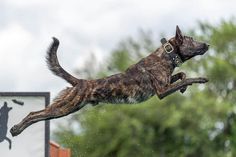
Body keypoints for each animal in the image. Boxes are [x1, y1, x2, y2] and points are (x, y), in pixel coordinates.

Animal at [9, 25, 208, 136]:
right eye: (192, 40)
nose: (207, 44)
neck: (166, 56)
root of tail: (80, 82)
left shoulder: (166, 84)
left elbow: (182, 76)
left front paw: (183, 87)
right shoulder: (162, 91)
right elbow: (187, 78)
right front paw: (200, 79)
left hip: (65, 108)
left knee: (39, 115)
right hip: (64, 107)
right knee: (34, 114)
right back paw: (16, 129)